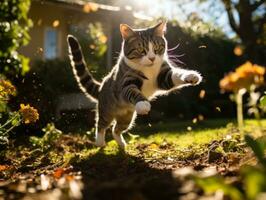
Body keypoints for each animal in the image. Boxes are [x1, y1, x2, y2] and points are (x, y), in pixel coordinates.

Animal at [67, 21, 203, 148]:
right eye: (141, 50)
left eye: (157, 48)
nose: (152, 58)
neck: (148, 69)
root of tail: (101, 88)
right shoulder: (126, 81)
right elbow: (132, 91)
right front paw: (143, 103)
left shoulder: (163, 77)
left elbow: (176, 75)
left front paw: (192, 76)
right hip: (107, 109)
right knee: (101, 124)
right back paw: (100, 142)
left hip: (127, 117)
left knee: (116, 129)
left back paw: (122, 144)